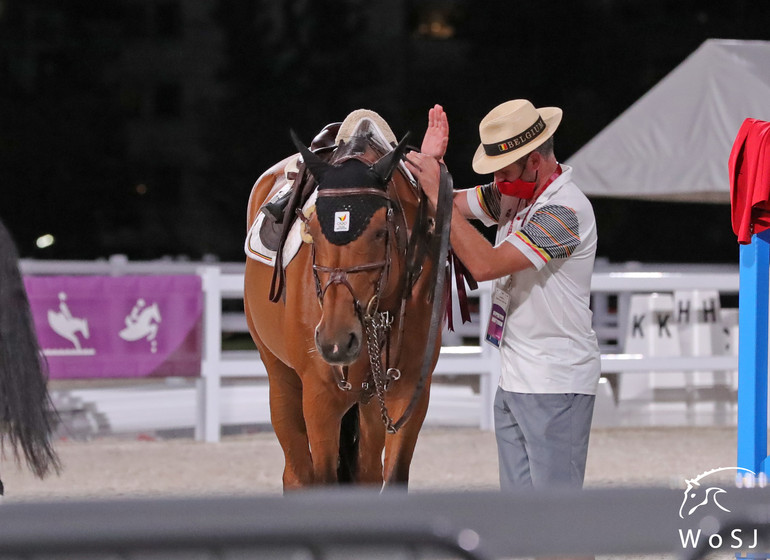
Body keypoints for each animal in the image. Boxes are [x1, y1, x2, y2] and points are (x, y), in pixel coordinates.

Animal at [243, 115, 440, 490]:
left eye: (381, 231)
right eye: (311, 230)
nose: (335, 340)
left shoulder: (409, 394)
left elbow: (391, 475)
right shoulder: (320, 399)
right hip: (280, 376)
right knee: (297, 473)